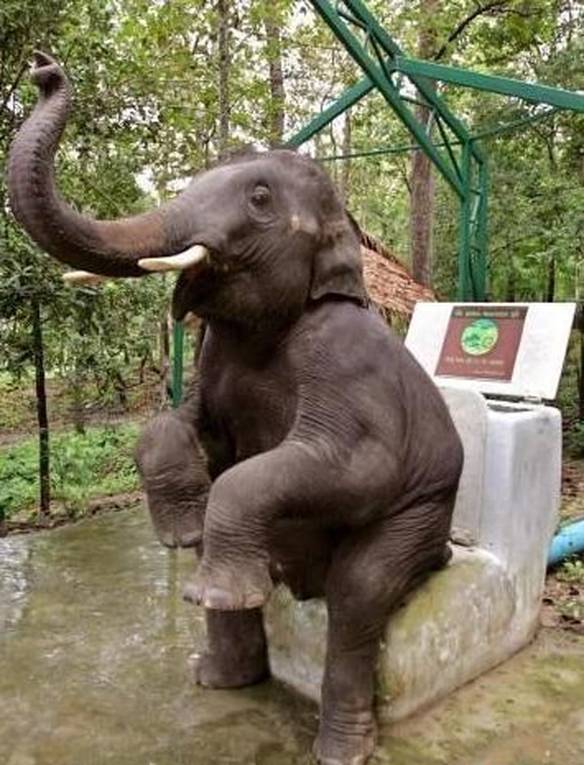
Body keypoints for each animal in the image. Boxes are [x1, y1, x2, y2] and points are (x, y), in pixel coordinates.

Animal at [8, 52, 464, 765]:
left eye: (259, 199)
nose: (44, 70)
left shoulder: (346, 360)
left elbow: (355, 468)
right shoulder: (211, 356)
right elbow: (181, 425)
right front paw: (178, 529)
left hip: (421, 519)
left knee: (359, 593)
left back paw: (338, 744)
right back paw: (219, 673)